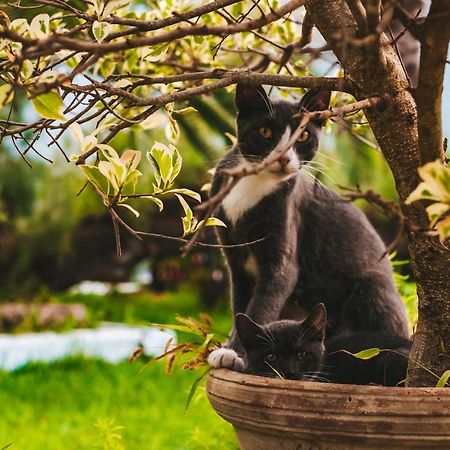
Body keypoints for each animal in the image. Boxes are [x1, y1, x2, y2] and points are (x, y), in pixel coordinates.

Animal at [207, 84, 408, 372]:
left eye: (303, 136)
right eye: (265, 131)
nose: (283, 158)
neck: (254, 184)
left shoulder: (284, 253)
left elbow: (262, 305)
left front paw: (235, 353)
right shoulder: (235, 259)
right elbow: (241, 307)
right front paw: (234, 349)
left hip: (370, 293)